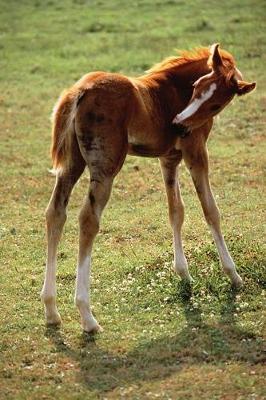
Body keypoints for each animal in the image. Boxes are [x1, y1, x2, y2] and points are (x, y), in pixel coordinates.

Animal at [41, 43, 256, 332]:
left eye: (215, 103)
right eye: (196, 87)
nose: (177, 124)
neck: (173, 89)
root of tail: (79, 91)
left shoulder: (169, 158)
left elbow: (176, 211)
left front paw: (184, 274)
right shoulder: (196, 152)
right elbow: (211, 210)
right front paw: (233, 275)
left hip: (72, 163)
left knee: (56, 214)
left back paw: (51, 310)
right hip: (105, 167)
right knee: (88, 219)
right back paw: (87, 316)